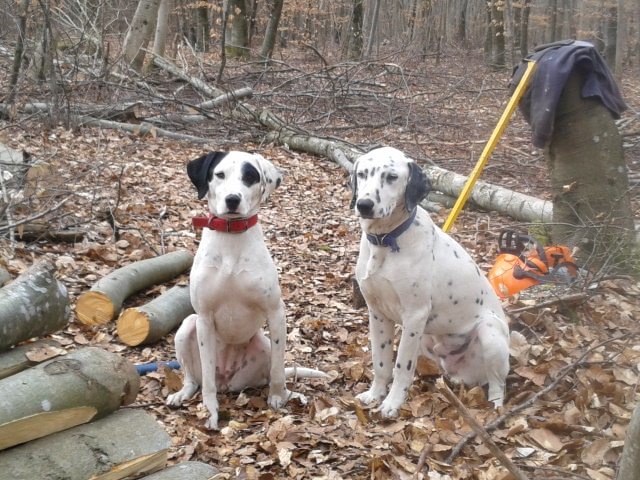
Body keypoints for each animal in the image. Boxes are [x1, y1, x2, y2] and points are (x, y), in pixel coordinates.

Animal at [168, 150, 328, 428]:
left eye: (250, 177)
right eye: (219, 174)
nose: (233, 199)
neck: (232, 238)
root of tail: (227, 380)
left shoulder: (276, 312)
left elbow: (278, 369)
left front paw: (278, 398)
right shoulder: (204, 318)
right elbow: (206, 381)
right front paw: (210, 412)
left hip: (263, 344)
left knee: (273, 371)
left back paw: (291, 394)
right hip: (188, 325)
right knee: (194, 379)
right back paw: (183, 393)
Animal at [350, 145, 510, 416]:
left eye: (392, 177)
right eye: (362, 174)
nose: (364, 204)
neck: (385, 242)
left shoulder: (414, 316)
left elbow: (401, 366)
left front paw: (392, 403)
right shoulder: (377, 313)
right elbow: (381, 362)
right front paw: (375, 394)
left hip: (489, 331)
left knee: (498, 384)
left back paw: (495, 410)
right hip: (426, 339)